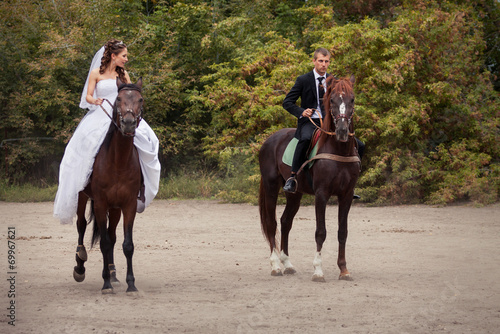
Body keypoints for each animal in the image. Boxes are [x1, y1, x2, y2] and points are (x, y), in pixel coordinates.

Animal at [73, 77, 146, 294]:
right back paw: (80, 265)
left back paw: (113, 273)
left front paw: (131, 284)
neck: (118, 162)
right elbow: (104, 243)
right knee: (81, 225)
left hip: (115, 208)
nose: (128, 123)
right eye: (119, 98)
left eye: (140, 99)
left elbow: (126, 244)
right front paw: (105, 284)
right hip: (83, 196)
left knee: (112, 235)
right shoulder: (100, 203)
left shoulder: (128, 204)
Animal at [260, 75, 362, 282]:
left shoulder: (346, 195)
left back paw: (288, 264)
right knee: (271, 223)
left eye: (352, 99)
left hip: (294, 193)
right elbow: (320, 232)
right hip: (271, 187)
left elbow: (342, 232)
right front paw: (318, 271)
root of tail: (269, 141)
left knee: (285, 222)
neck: (339, 149)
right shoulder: (321, 194)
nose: (342, 131)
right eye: (332, 100)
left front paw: (343, 269)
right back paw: (275, 266)